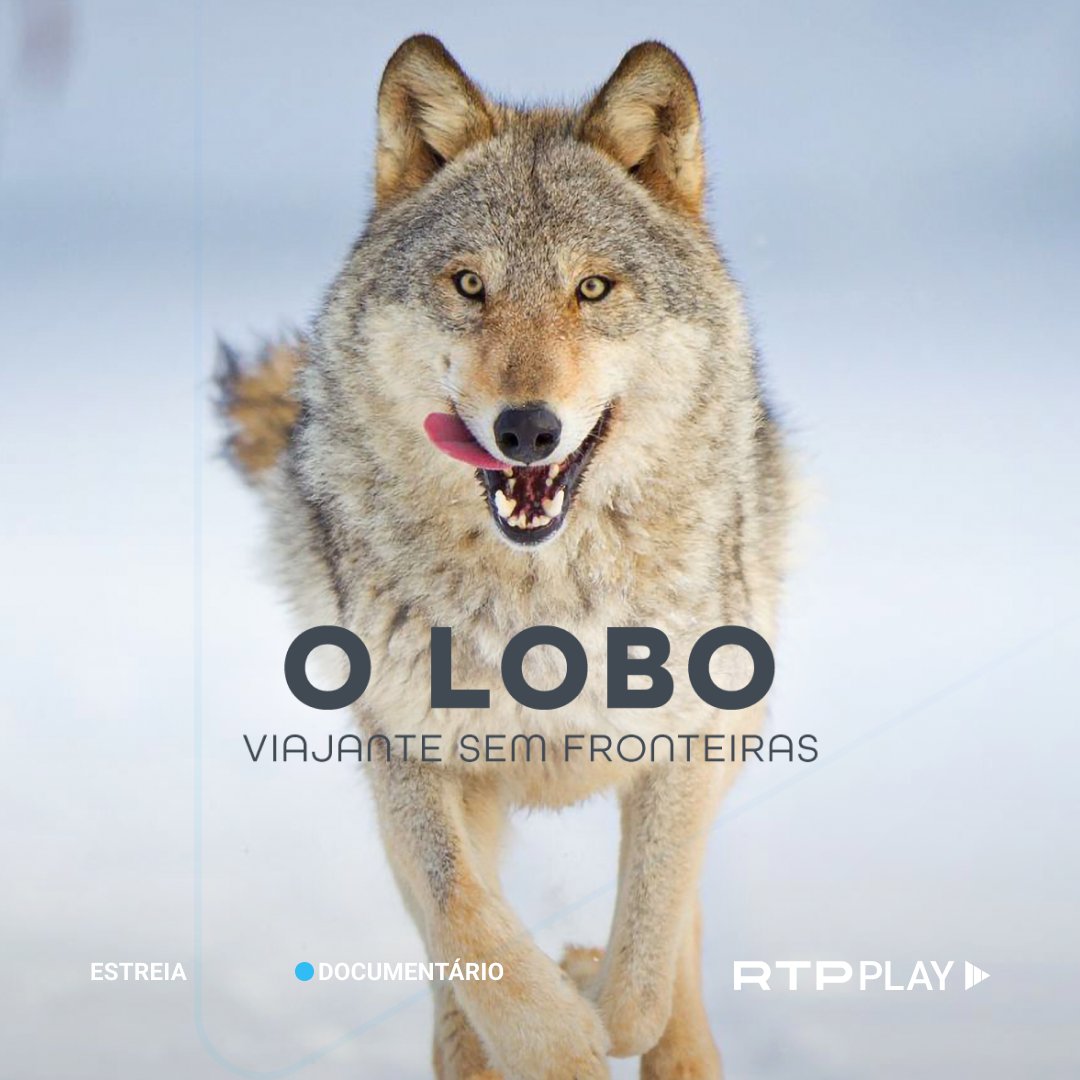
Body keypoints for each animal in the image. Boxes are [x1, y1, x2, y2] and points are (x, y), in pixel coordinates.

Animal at [218, 35, 790, 1080]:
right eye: (469, 285)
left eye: (592, 289)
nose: (527, 429)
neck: (541, 605)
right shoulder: (411, 752)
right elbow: (464, 918)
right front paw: (555, 1039)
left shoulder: (687, 743)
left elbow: (646, 966)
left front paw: (598, 995)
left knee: (677, 932)